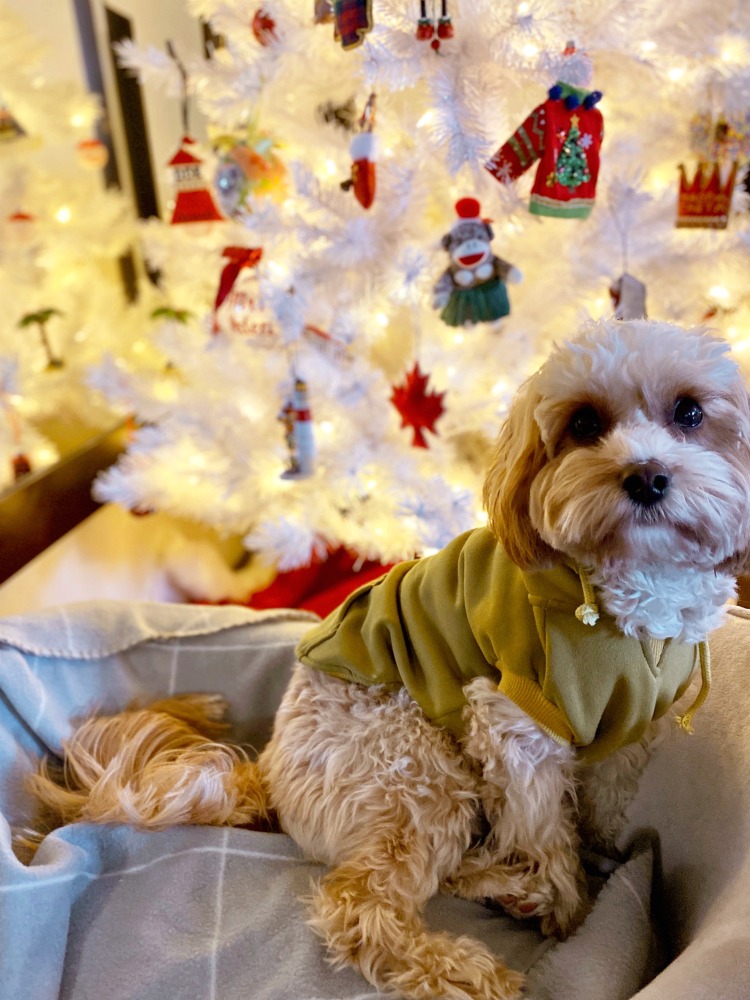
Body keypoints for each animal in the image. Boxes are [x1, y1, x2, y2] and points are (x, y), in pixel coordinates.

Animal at [23, 318, 750, 1000]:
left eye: (689, 412)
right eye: (584, 423)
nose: (646, 476)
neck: (633, 596)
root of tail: (270, 768)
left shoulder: (630, 733)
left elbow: (600, 806)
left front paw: (591, 865)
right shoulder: (515, 723)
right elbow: (548, 832)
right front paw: (571, 912)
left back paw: (506, 886)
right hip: (415, 768)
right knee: (364, 906)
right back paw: (467, 962)